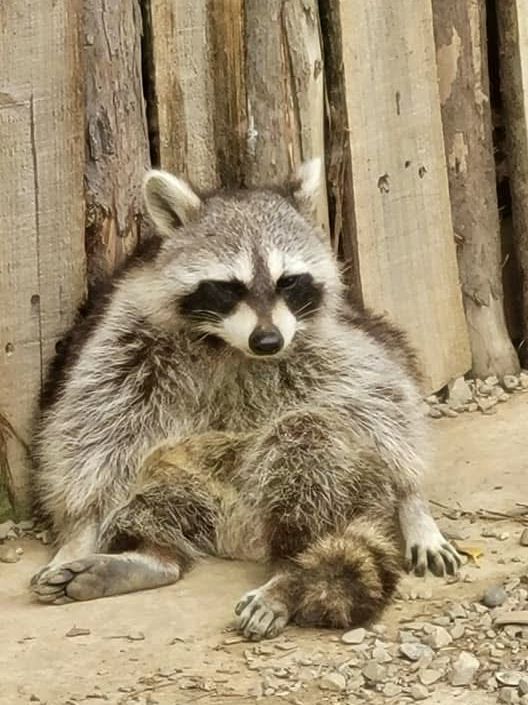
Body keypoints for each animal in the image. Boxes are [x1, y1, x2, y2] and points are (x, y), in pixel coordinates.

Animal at [31, 160, 458, 640]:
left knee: (309, 440)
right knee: (151, 487)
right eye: (227, 287)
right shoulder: (127, 329)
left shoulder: (332, 336)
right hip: (179, 472)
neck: (229, 346)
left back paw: (290, 572)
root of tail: (235, 535)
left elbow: (385, 394)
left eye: (288, 281)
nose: (268, 341)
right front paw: (80, 528)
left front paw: (412, 500)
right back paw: (151, 556)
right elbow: (93, 419)